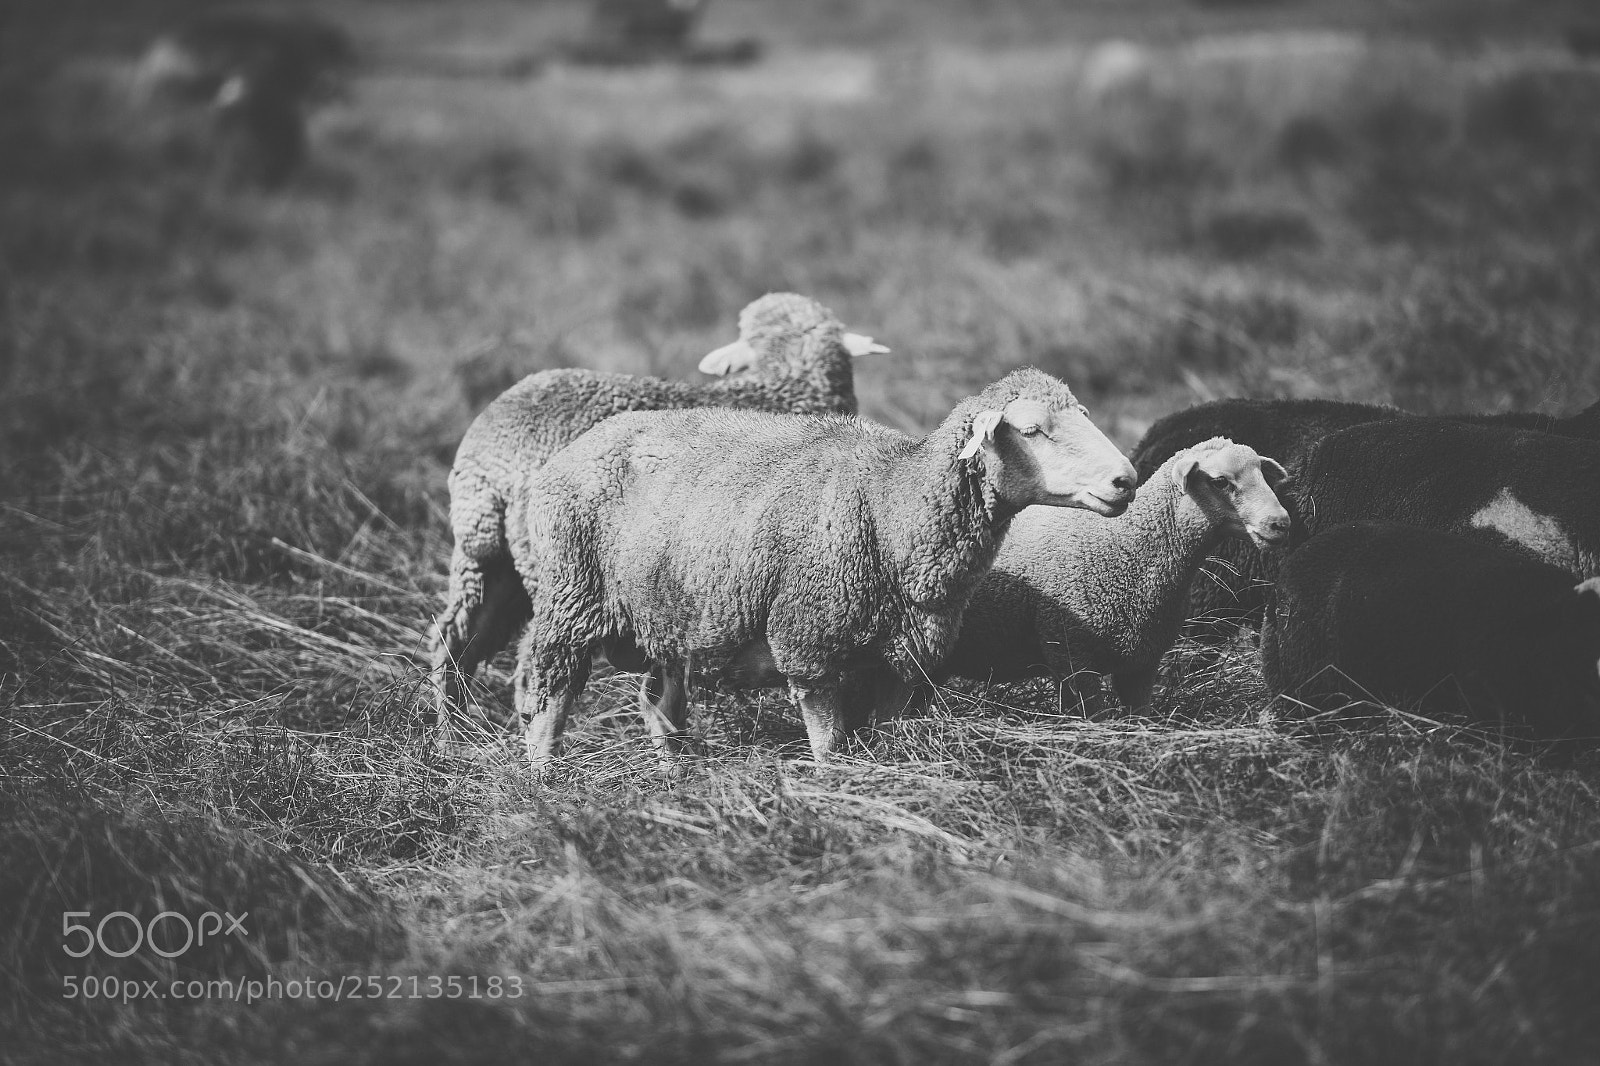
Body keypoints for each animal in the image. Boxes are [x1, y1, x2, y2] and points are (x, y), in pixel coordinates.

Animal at [431, 293, 889, 738]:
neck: (785, 381)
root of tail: (492, 450)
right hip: (558, 571)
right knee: (531, 665)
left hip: (486, 557)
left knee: (454, 640)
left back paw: (449, 732)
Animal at [506, 367, 1138, 767]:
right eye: (1031, 430)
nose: (1125, 480)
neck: (895, 505)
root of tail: (575, 448)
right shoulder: (811, 645)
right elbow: (831, 750)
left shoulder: (900, 662)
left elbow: (882, 739)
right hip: (571, 596)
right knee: (549, 694)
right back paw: (542, 777)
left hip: (674, 613)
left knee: (657, 701)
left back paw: (676, 773)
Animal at [941, 438, 1289, 712]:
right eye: (1219, 481)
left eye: (1263, 475)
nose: (1281, 523)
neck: (1128, 544)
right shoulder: (1072, 656)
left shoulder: (1142, 663)